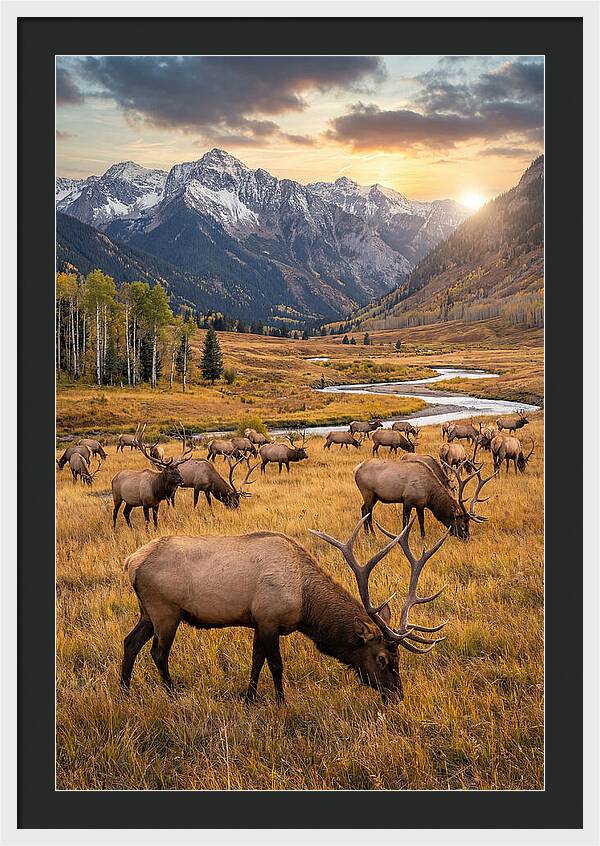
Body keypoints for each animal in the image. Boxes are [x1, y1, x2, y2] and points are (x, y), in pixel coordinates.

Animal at [120, 515, 449, 704]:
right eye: (382, 658)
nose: (397, 695)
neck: (305, 603)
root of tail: (131, 562)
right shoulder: (269, 618)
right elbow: (276, 665)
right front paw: (281, 702)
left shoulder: (257, 620)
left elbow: (256, 662)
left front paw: (249, 699)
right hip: (166, 611)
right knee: (158, 653)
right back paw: (171, 694)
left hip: (147, 612)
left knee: (130, 642)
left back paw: (124, 691)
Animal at [355, 458, 495, 540]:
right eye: (462, 524)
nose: (467, 538)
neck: (430, 494)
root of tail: (356, 469)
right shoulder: (407, 500)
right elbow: (405, 521)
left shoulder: (420, 504)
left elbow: (421, 521)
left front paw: (423, 537)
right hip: (368, 493)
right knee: (367, 512)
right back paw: (371, 535)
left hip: (374, 497)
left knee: (363, 510)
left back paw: (368, 534)